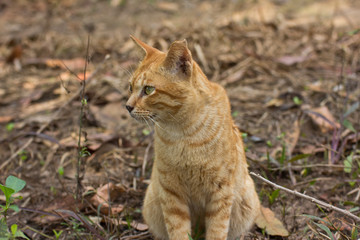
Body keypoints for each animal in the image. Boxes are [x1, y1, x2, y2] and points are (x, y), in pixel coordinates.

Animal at [126, 36, 290, 240]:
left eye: (148, 90)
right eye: (130, 87)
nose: (127, 106)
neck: (184, 134)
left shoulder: (220, 192)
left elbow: (217, 231)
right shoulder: (172, 194)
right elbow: (178, 231)